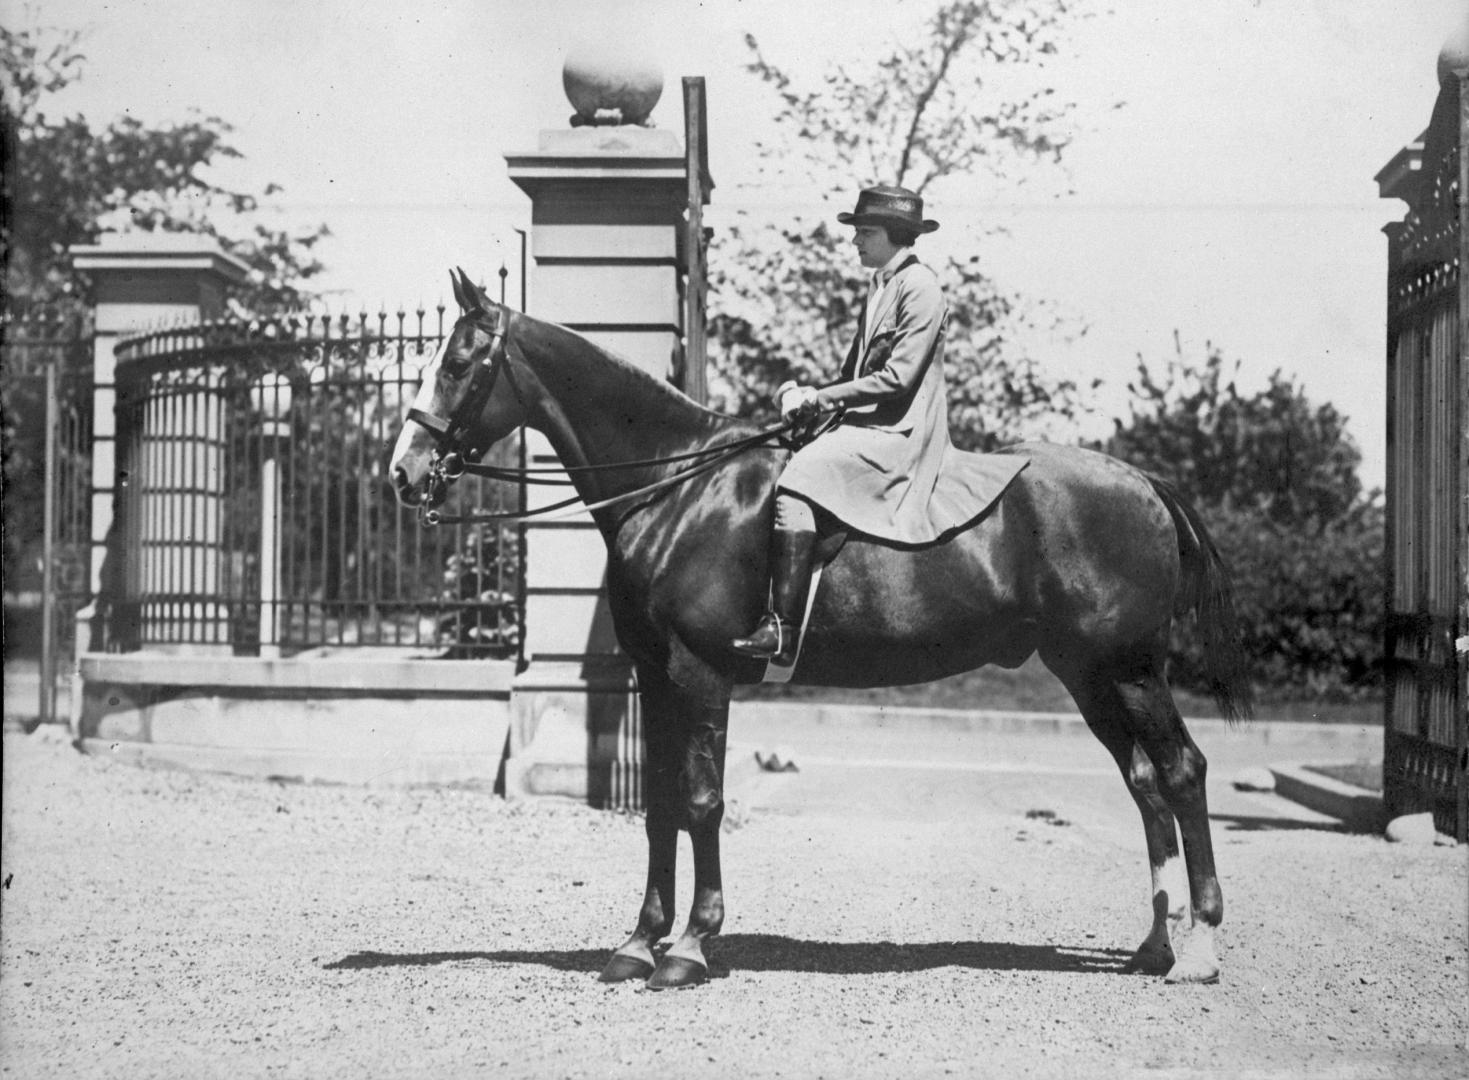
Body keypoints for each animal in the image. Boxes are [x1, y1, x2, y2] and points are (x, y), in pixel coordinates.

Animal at [390, 268, 1251, 987]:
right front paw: (639, 941)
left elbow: (700, 801)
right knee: (1144, 785)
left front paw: (691, 945)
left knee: (1182, 773)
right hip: (1087, 676)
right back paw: (1154, 944)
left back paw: (1199, 950)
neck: (677, 484)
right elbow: (662, 807)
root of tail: (1142, 482)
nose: (403, 471)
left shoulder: (700, 674)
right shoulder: (656, 678)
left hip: (1131, 671)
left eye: (459, 362)